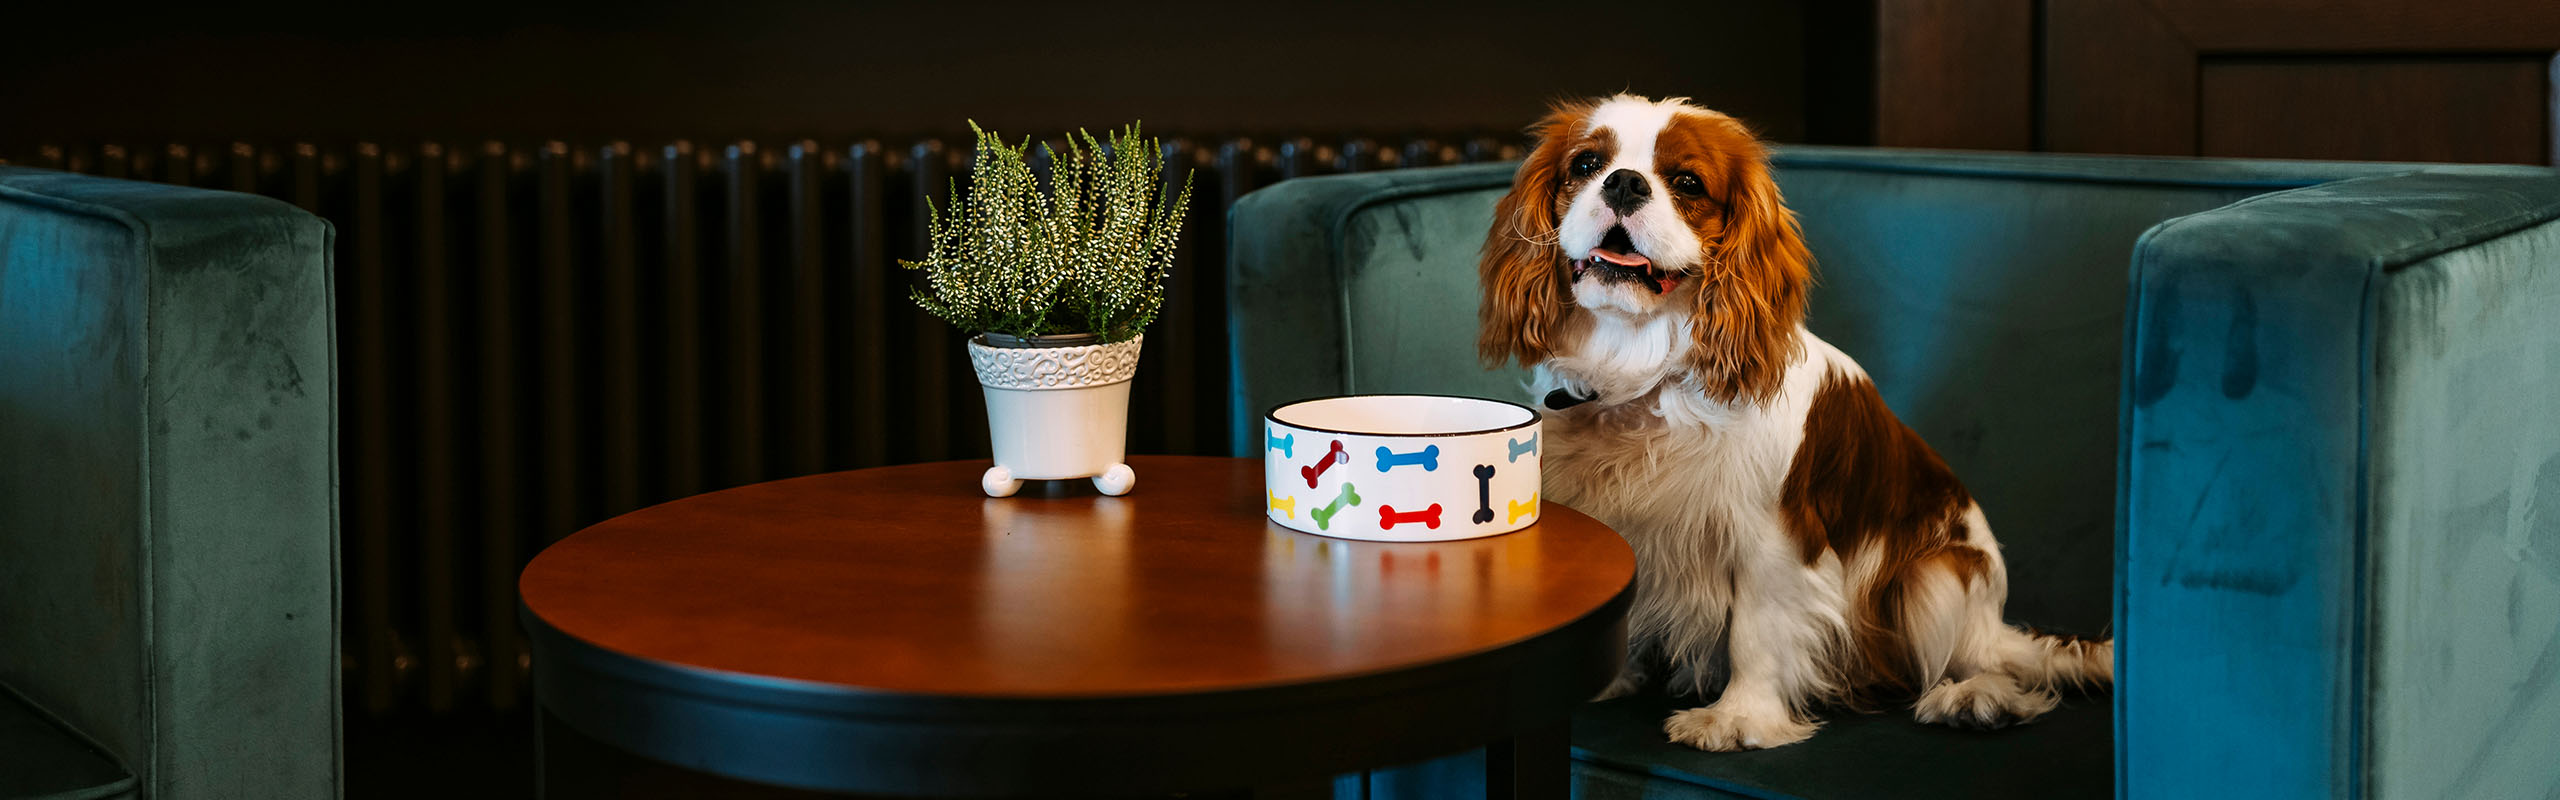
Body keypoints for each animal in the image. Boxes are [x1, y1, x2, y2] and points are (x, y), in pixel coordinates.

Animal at [1474, 93, 2109, 748]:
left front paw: (1738, 718)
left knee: (1982, 660)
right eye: (1586, 164)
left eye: (1687, 182)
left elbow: (1755, 631)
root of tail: (1995, 622)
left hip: (1935, 579)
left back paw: (1975, 697)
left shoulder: (1774, 538)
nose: (1623, 182)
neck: (1644, 371)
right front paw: (1609, 678)